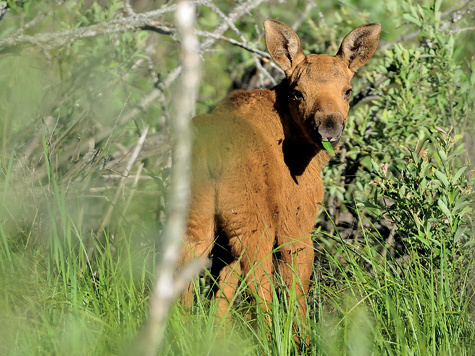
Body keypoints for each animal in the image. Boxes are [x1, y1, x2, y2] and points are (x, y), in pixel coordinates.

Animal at [180, 19, 382, 322]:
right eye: (298, 92)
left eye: (347, 90)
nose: (329, 127)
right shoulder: (296, 222)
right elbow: (295, 289)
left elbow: (222, 293)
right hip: (252, 219)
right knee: (258, 281)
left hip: (197, 219)